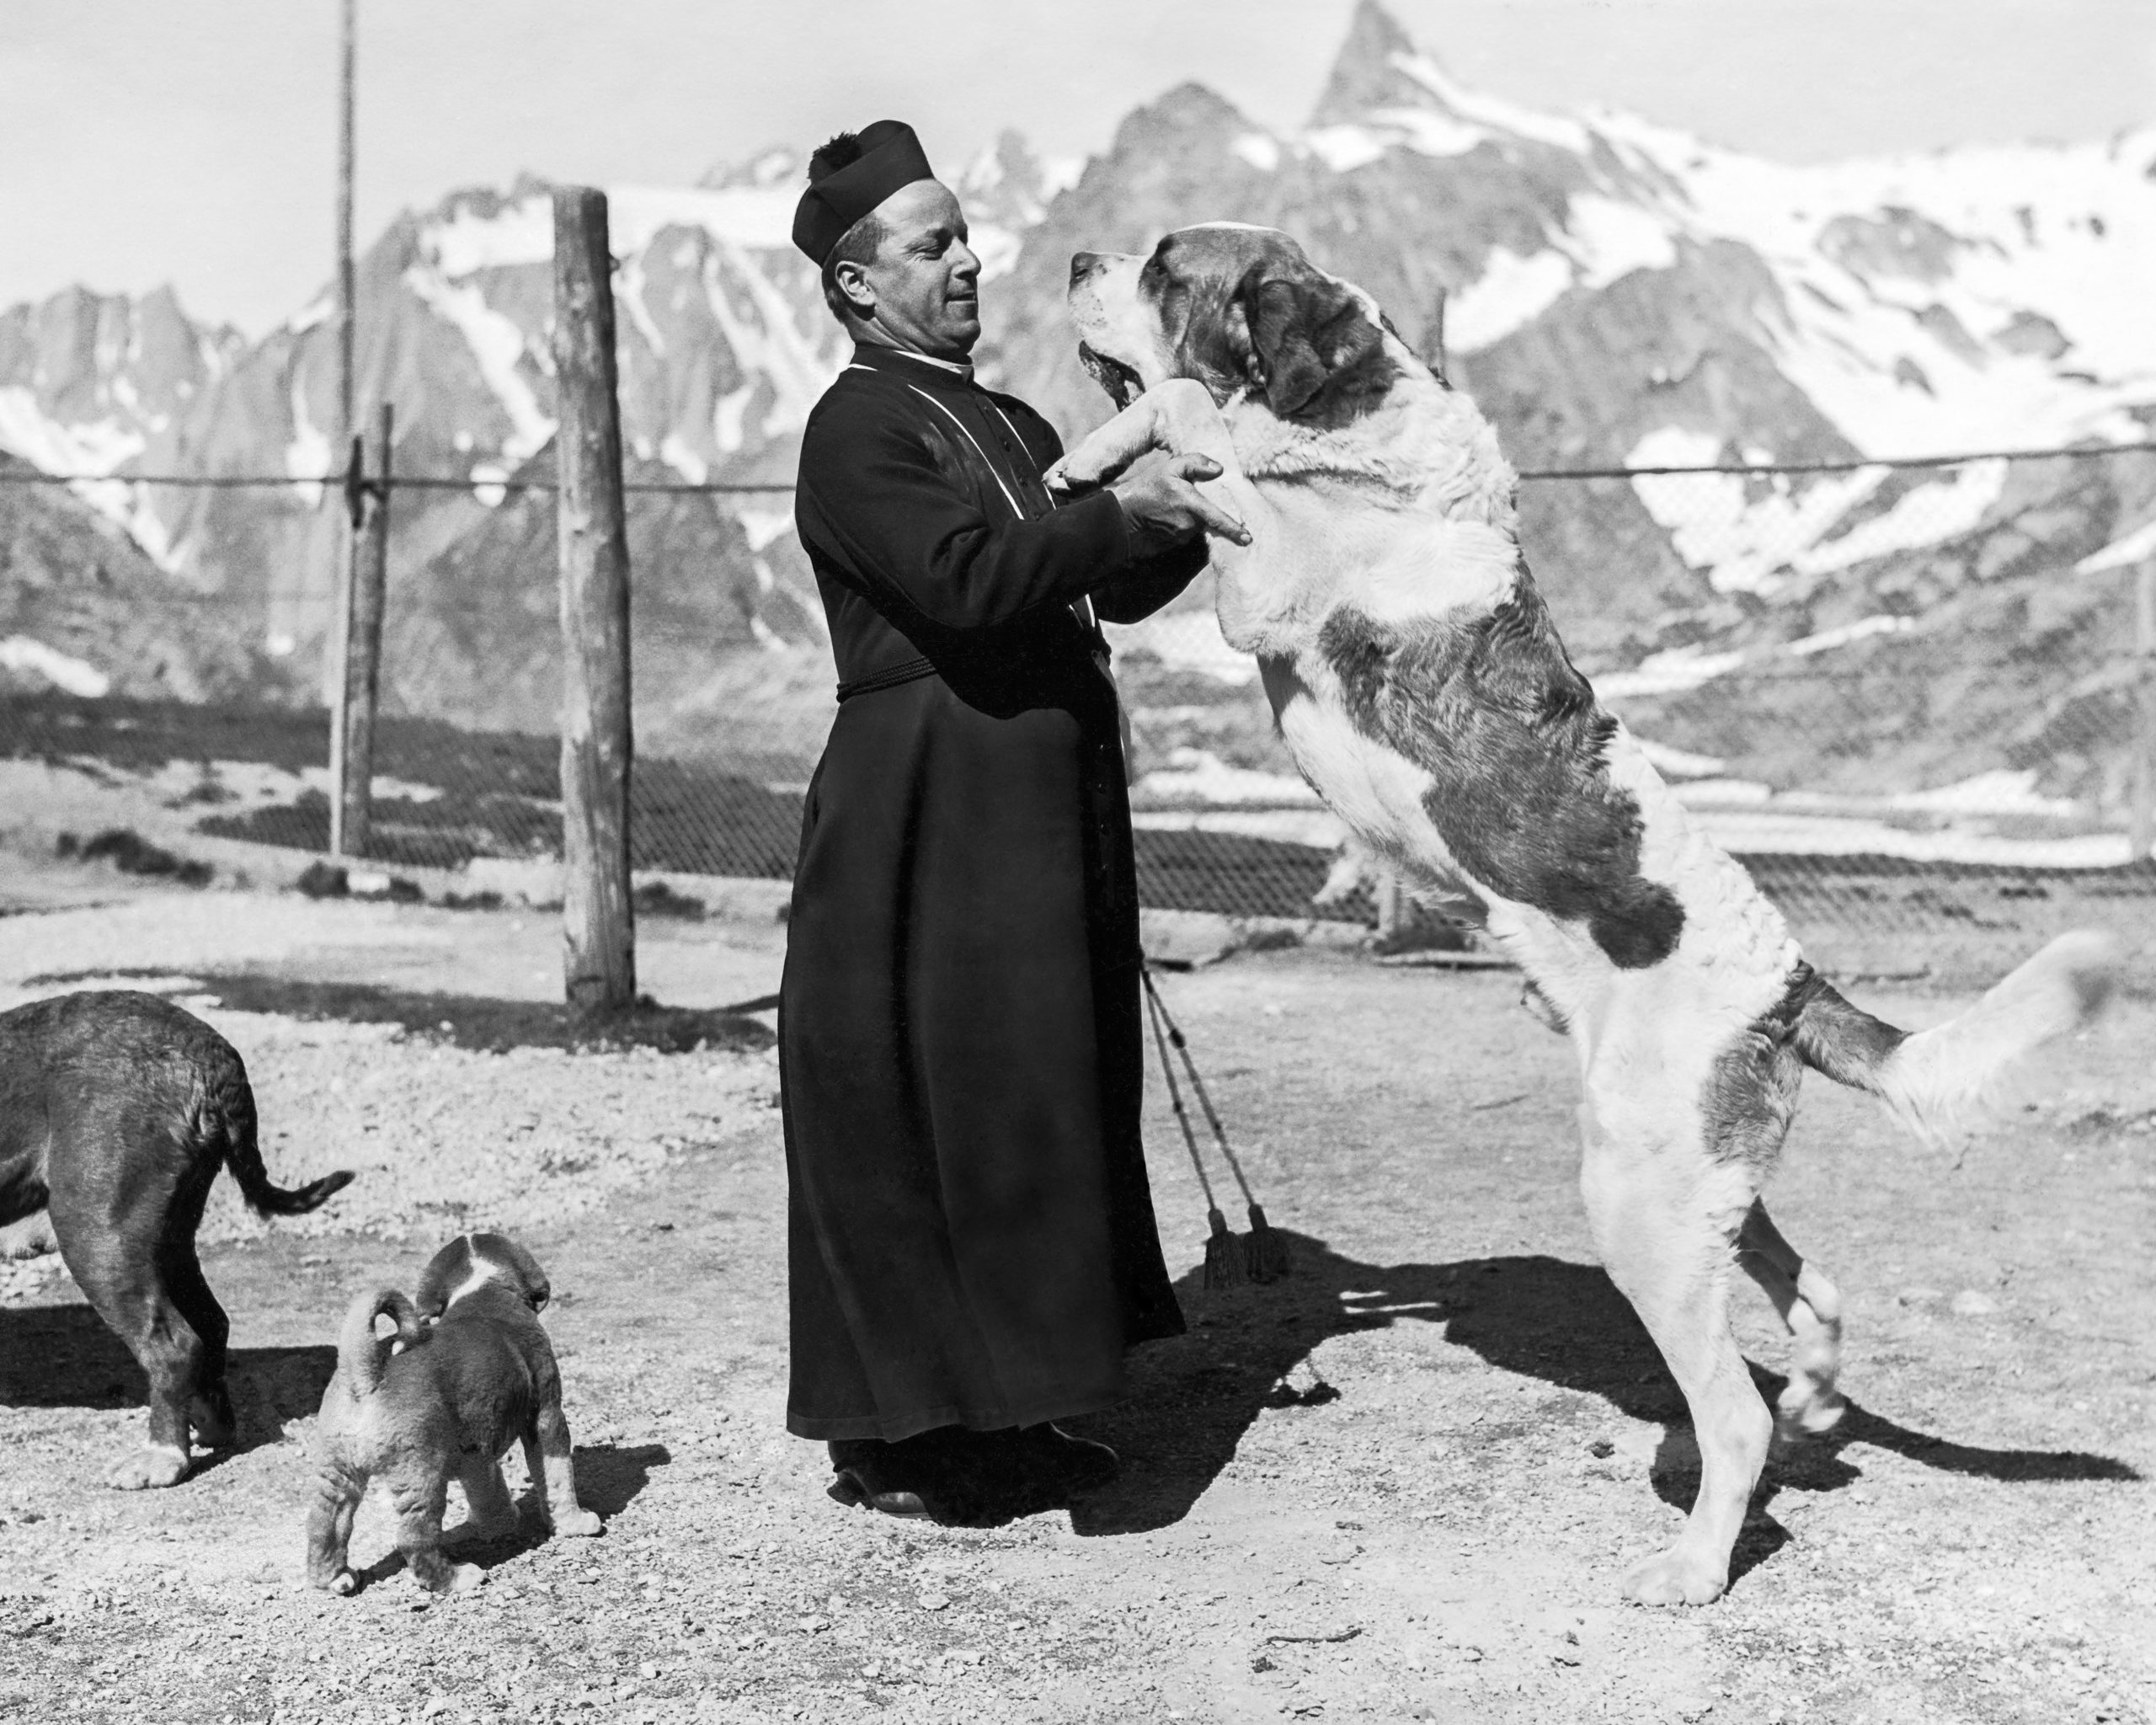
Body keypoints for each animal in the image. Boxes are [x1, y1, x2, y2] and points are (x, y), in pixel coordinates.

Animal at [0, 991, 353, 1492]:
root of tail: (210, 1050)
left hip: (96, 1231)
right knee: (212, 1323)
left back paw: (161, 1457)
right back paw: (208, 1422)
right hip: (167, 1239)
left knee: (174, 1344)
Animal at [308, 1233, 603, 1595]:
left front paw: (498, 1522)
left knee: (324, 1524)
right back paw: (458, 1577)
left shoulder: (474, 1453)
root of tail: (365, 1375)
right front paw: (576, 1523)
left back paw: (334, 1577)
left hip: (337, 1473)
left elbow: (490, 1496)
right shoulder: (547, 1416)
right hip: (422, 1475)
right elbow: (559, 1476)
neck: (483, 1289)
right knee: (415, 1538)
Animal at [1043, 222, 2121, 1612]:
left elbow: (1188, 411)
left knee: (1733, 1409)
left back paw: (1698, 1558)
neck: (1356, 441)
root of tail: (1789, 977)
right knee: (1815, 1296)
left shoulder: (1262, 586)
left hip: (1637, 1199)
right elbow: (1193, 419)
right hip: (1698, 1187)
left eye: (1170, 267)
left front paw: (1096, 452)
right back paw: (1819, 1408)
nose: (1076, 255)